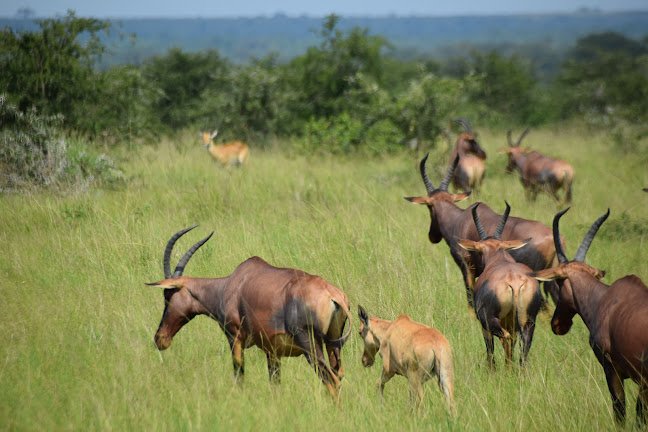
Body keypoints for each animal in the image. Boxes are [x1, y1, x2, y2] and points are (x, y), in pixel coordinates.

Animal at [149, 228, 352, 400]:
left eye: (168, 295)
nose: (160, 339)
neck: (232, 284)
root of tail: (332, 293)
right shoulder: (272, 351)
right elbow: (274, 382)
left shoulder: (235, 338)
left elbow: (239, 373)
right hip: (333, 344)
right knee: (339, 374)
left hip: (309, 344)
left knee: (331, 379)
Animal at [404, 154, 560, 306]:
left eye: (429, 206)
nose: (432, 236)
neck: (461, 219)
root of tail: (551, 238)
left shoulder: (468, 269)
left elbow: (470, 298)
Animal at [458, 202, 544, 368]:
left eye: (480, 251)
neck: (499, 258)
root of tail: (515, 282)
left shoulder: (484, 325)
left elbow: (490, 348)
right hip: (528, 322)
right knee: (523, 344)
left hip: (491, 321)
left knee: (506, 339)